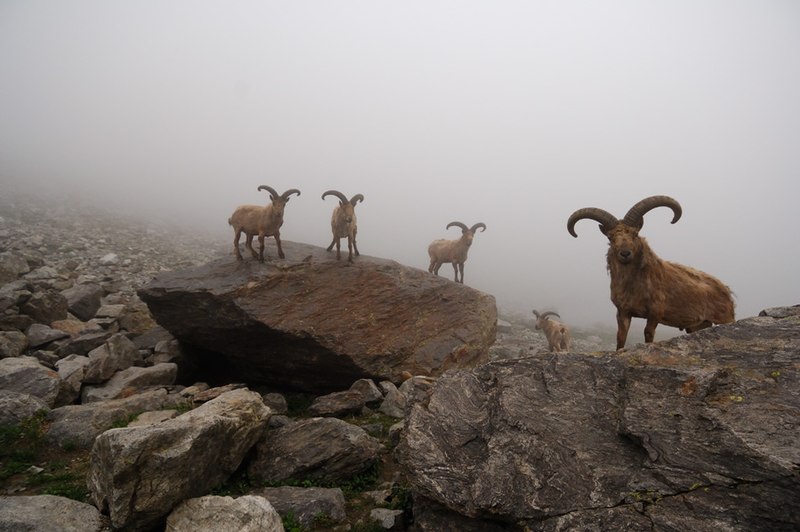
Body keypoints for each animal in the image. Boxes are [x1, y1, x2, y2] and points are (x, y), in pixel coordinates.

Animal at [564, 195, 736, 350]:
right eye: (611, 237)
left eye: (634, 233)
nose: (625, 253)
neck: (634, 286)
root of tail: (727, 291)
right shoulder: (623, 311)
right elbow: (621, 337)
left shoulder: (656, 311)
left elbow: (648, 333)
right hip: (698, 325)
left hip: (725, 318)